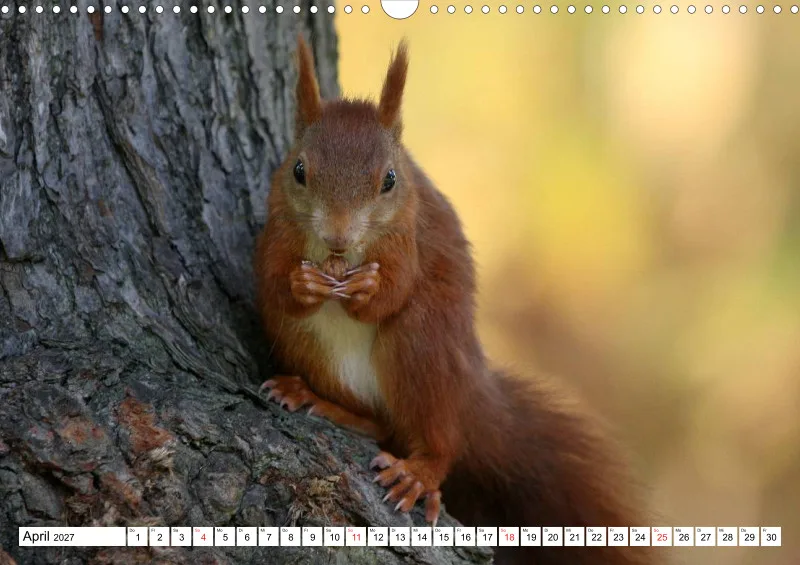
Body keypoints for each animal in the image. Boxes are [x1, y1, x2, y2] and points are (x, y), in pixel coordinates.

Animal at [253, 36, 655, 565]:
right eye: (299, 170)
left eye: (389, 180)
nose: (338, 238)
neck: (339, 259)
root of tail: (468, 390)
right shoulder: (278, 228)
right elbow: (271, 281)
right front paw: (302, 285)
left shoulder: (407, 239)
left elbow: (392, 292)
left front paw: (368, 291)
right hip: (304, 344)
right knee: (377, 424)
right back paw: (315, 398)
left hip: (422, 346)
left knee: (439, 439)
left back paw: (419, 473)